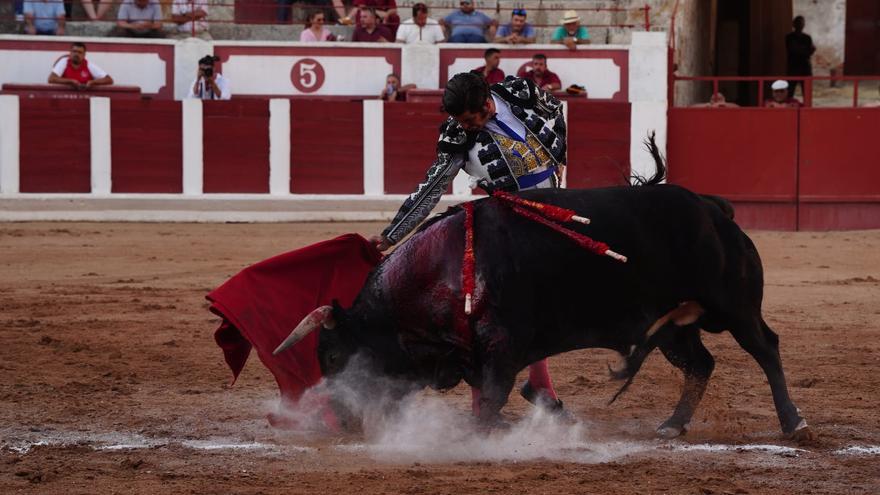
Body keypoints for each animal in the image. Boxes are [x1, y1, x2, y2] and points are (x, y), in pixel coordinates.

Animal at [274, 144, 812, 442]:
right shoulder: (475, 351)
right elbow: (486, 397)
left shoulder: (501, 346)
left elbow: (491, 397)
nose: (345, 420)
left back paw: (794, 424)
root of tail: (712, 208)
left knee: (766, 348)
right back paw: (671, 425)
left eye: (334, 355)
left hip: (735, 305)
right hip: (673, 325)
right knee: (700, 364)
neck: (437, 270)